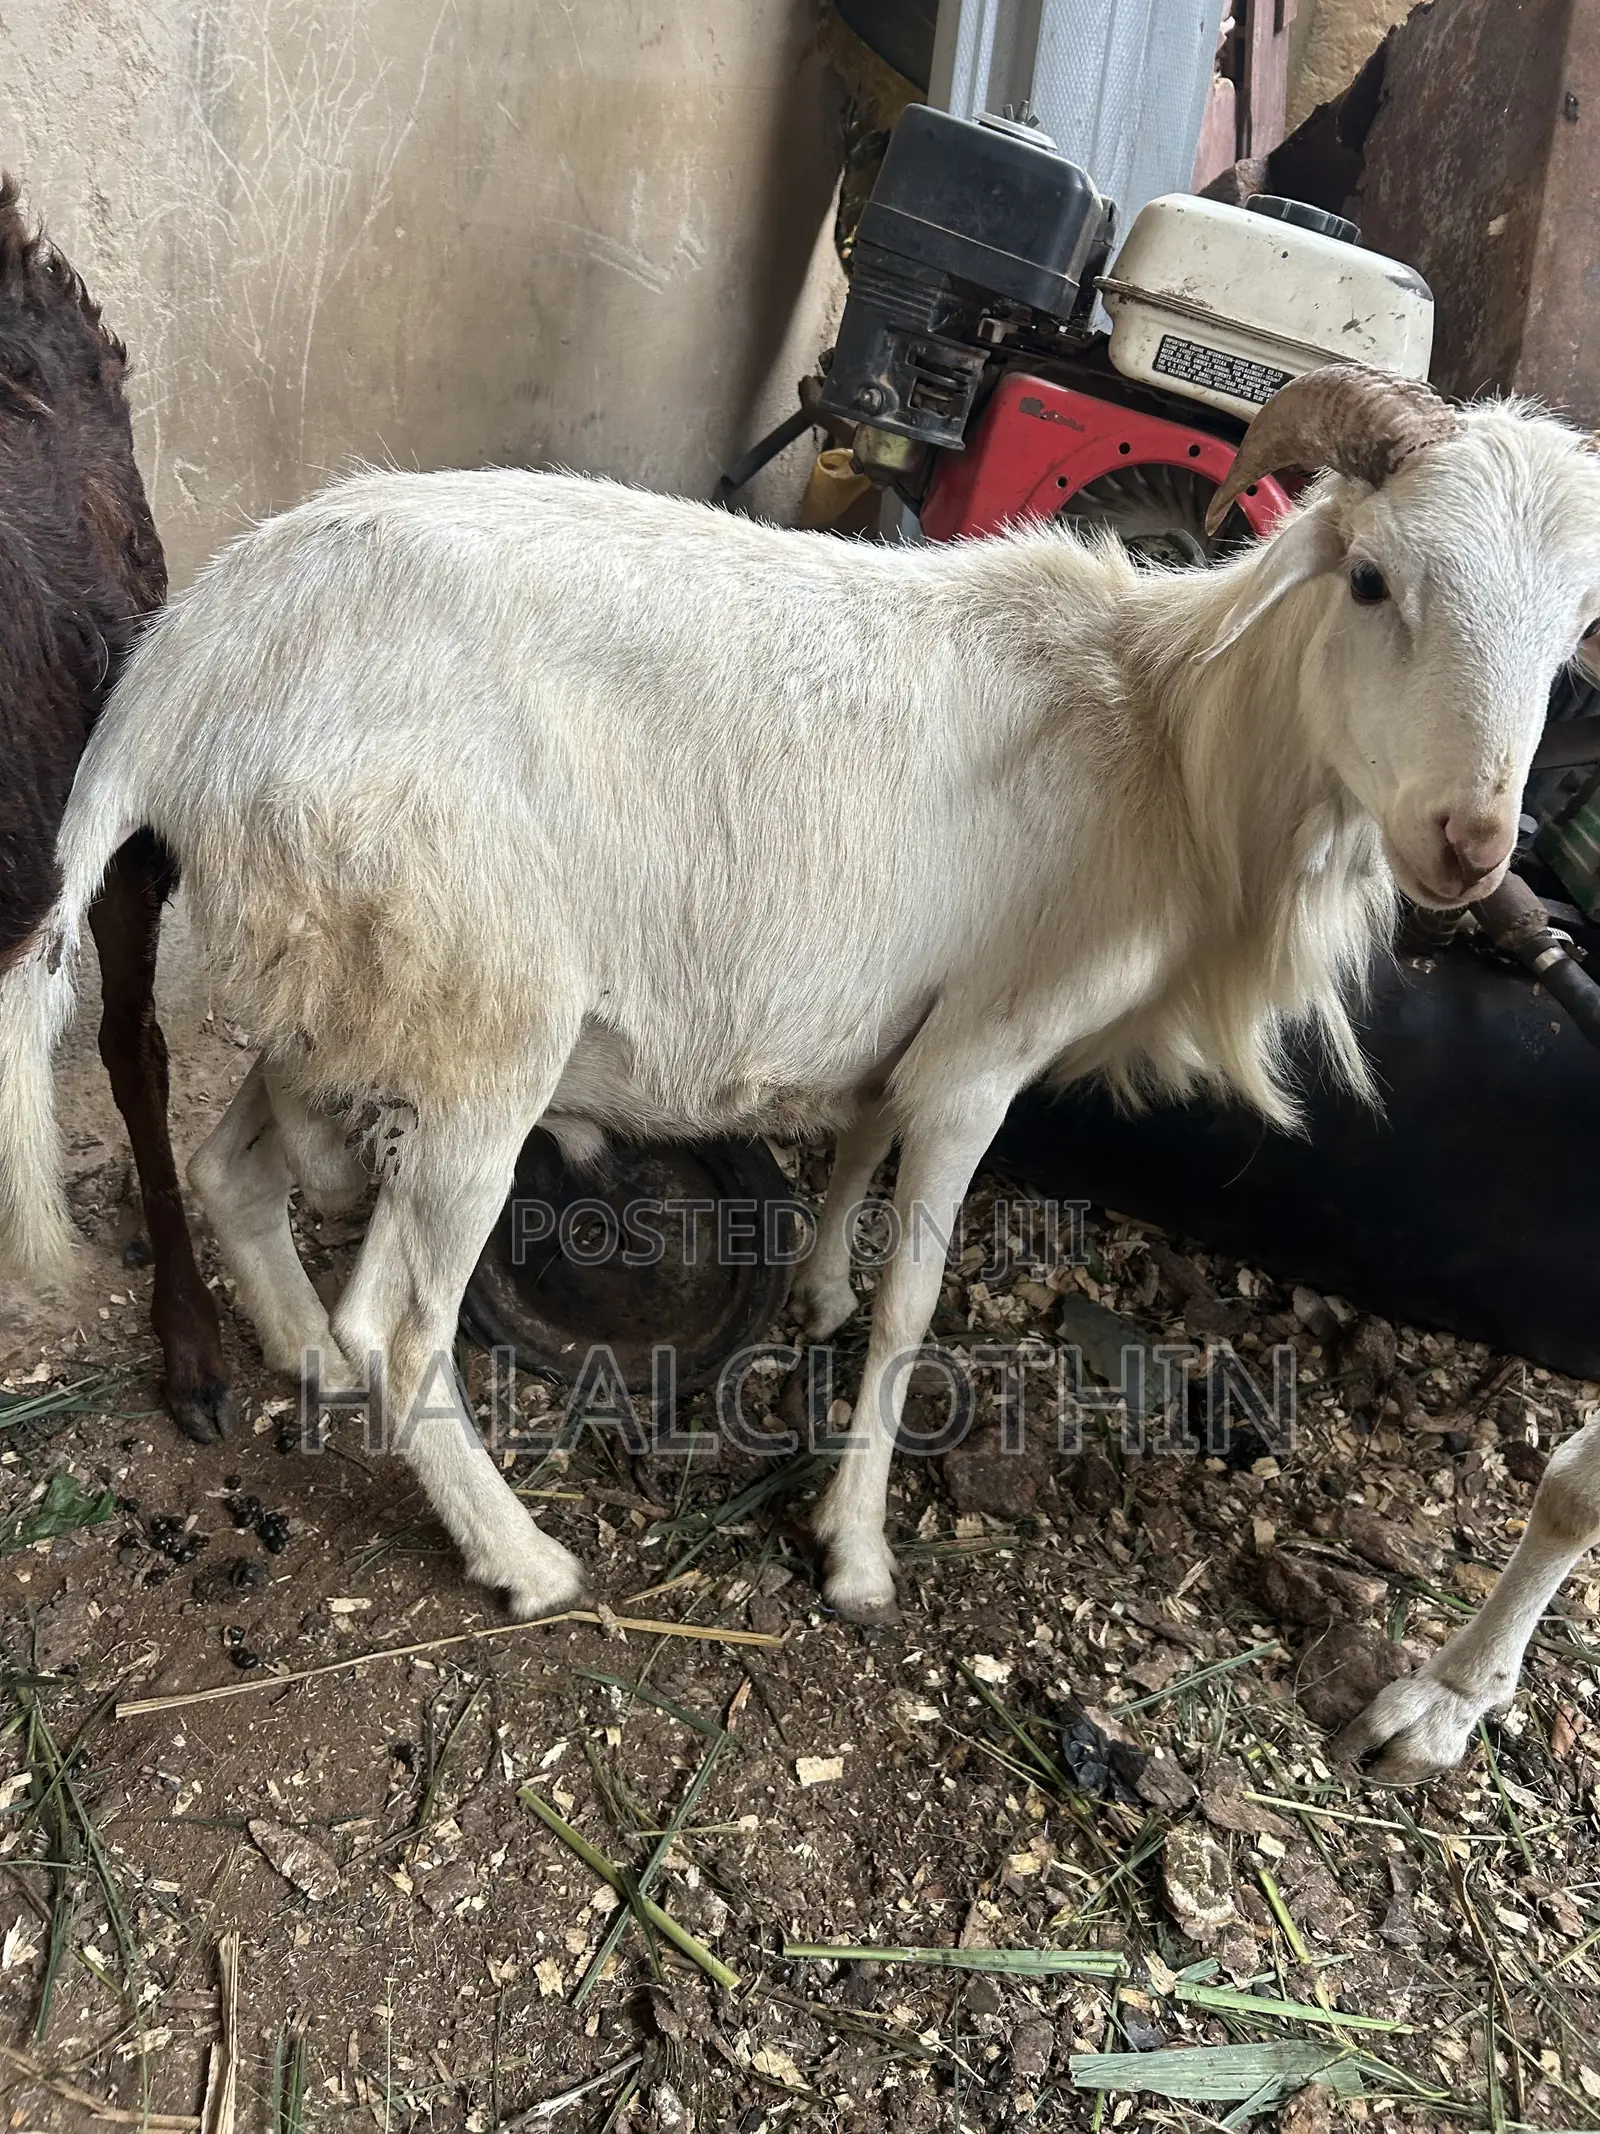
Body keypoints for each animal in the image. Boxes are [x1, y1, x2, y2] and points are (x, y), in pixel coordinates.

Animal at [4, 363, 1600, 1783]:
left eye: (1570, 635)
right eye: (1375, 580)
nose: (1472, 844)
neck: (1169, 740)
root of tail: (178, 675)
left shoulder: (908, 1028)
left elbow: (854, 1148)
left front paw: (816, 1291)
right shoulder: (984, 1056)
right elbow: (914, 1302)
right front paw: (858, 1552)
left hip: (332, 992)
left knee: (233, 1172)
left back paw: (300, 1355)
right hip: (476, 1018)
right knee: (401, 1326)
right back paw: (520, 1554)